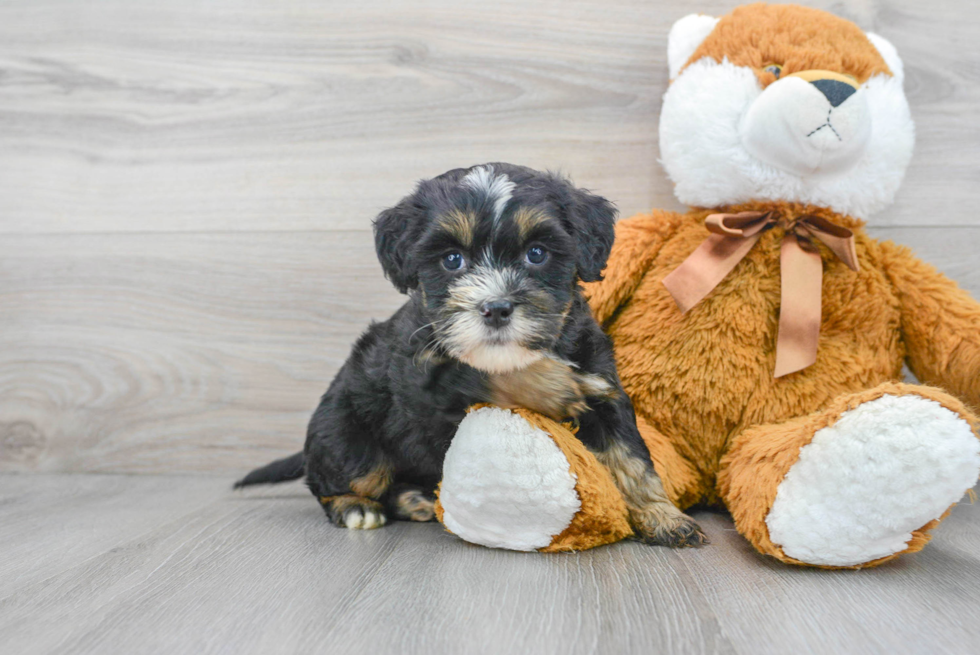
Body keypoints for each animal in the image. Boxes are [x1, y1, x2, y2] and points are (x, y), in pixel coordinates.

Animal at [235, 164, 704, 548]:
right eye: (452, 259)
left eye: (537, 253)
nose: (495, 308)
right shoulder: (422, 376)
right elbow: (484, 373)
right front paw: (554, 384)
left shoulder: (605, 387)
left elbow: (632, 459)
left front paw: (663, 517)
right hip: (347, 435)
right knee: (340, 479)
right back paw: (356, 507)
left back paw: (415, 499)